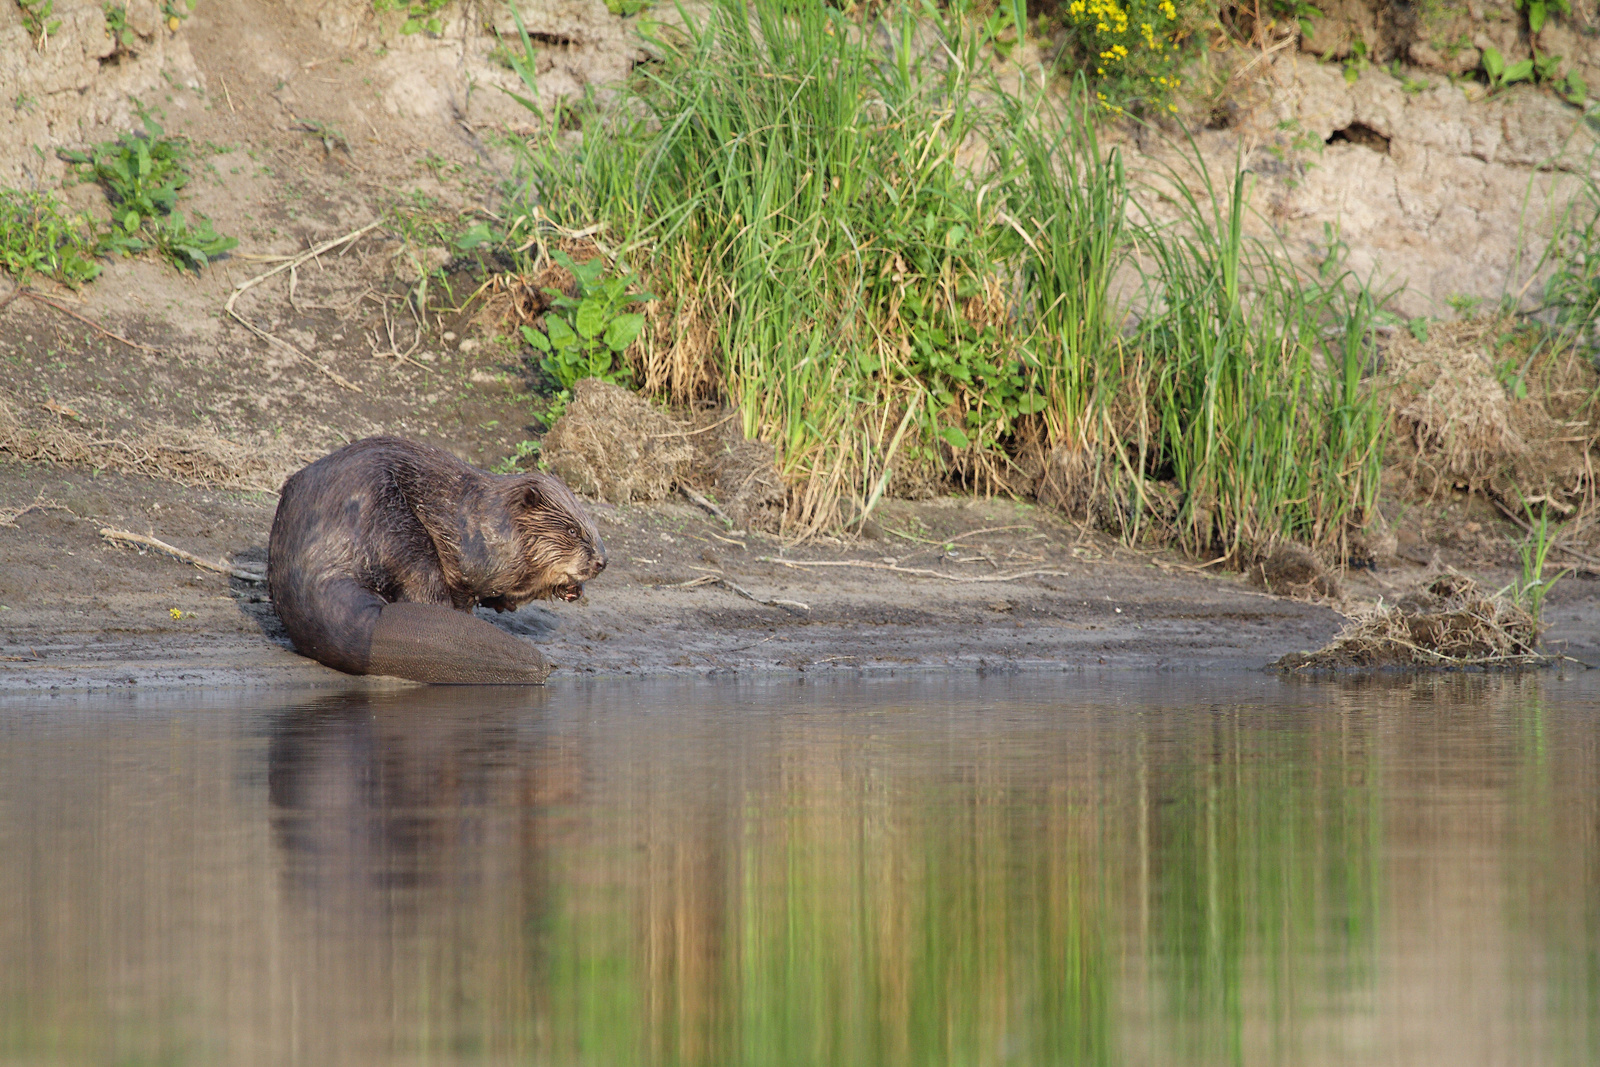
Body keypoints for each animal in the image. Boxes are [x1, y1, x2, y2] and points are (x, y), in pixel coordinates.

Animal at [268, 441, 604, 684]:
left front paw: (572, 590)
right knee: (425, 590)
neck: (492, 510)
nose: (602, 561)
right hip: (395, 527)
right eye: (573, 530)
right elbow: (485, 579)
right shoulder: (475, 541)